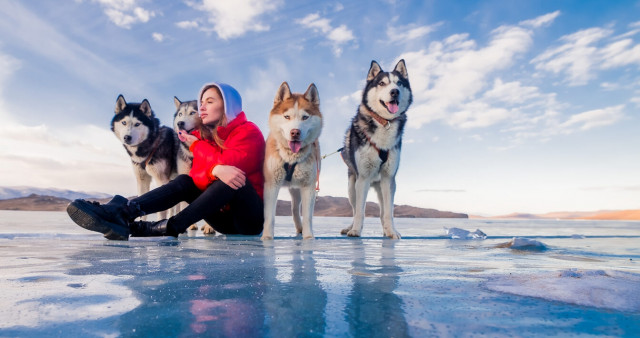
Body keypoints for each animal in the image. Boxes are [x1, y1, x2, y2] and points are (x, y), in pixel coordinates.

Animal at [262, 82, 322, 240]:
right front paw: (267, 237)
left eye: (305, 117)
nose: (295, 132)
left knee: (295, 209)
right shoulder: (272, 184)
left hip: (296, 190)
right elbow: (270, 216)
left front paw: (308, 237)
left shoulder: (308, 186)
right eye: (287, 116)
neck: (291, 157)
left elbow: (307, 216)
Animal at [342, 59, 412, 239]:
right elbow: (360, 211)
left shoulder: (389, 179)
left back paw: (388, 230)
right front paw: (355, 230)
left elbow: (388, 212)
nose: (394, 92)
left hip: (382, 187)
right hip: (352, 187)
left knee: (383, 212)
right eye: (382, 83)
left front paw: (392, 232)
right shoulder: (363, 178)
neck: (384, 122)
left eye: (399, 83)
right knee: (354, 209)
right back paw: (350, 227)